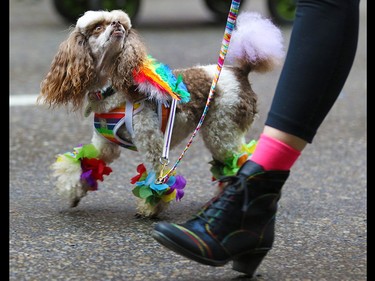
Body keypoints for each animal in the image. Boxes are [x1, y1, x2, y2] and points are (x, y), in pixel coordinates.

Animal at [39, 9, 284, 217]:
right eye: (98, 27)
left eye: (121, 24)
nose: (117, 25)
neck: (112, 89)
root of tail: (240, 72)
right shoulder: (104, 145)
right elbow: (85, 164)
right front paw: (73, 191)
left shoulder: (151, 142)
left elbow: (156, 174)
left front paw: (151, 207)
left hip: (221, 131)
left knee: (240, 161)